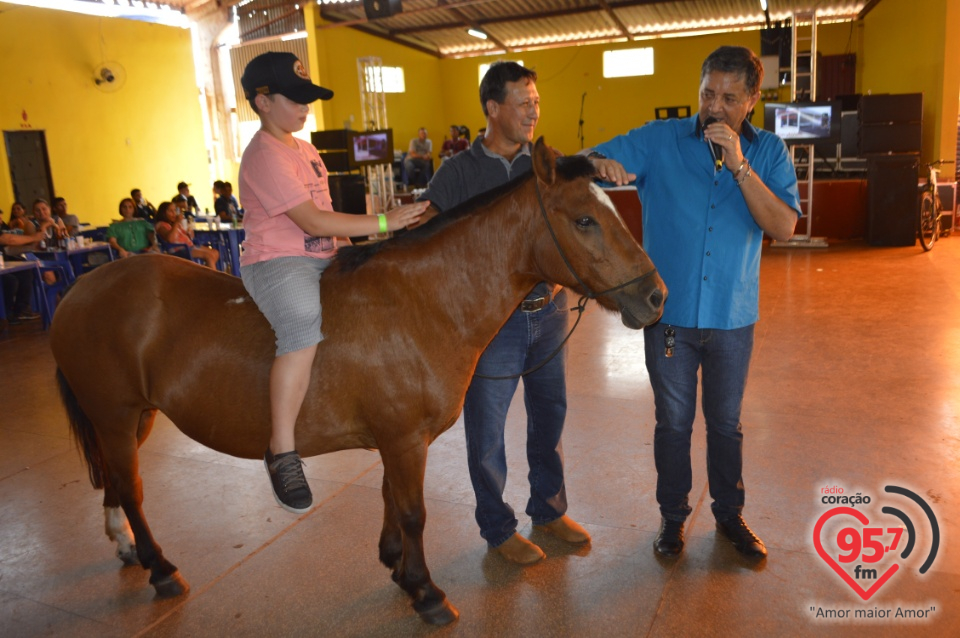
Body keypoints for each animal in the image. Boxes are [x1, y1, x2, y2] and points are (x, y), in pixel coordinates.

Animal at [50, 139, 668, 624]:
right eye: (584, 220)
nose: (655, 296)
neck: (422, 301)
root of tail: (81, 288)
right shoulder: (404, 439)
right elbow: (414, 511)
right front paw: (426, 592)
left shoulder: (397, 441)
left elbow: (392, 500)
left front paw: (398, 567)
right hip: (115, 415)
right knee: (131, 489)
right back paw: (160, 567)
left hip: (135, 417)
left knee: (116, 483)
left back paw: (127, 547)